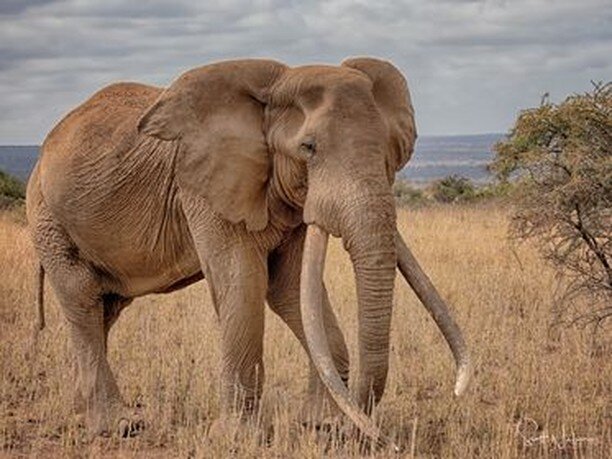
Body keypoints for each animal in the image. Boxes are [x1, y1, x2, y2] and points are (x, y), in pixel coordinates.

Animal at [26, 57, 470, 450]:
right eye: (308, 148)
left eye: (387, 151)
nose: (358, 433)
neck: (278, 83)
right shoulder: (202, 183)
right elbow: (244, 283)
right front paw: (241, 439)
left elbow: (290, 289)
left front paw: (320, 426)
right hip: (47, 217)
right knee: (82, 297)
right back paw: (120, 427)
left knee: (107, 308)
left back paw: (80, 413)